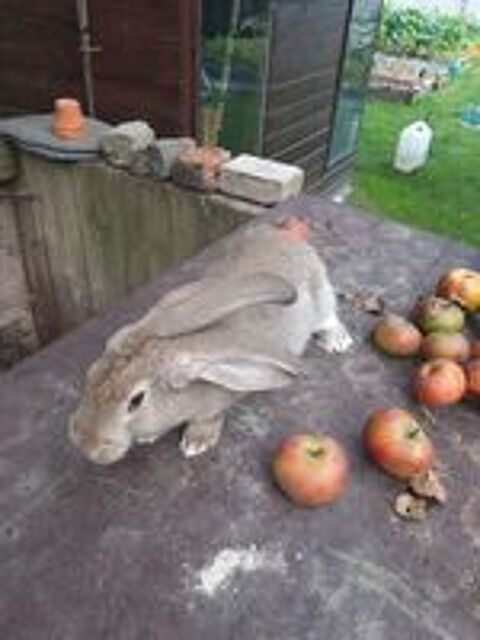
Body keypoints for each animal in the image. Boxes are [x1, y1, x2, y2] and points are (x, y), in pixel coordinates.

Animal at [68, 220, 352, 465]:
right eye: (90, 374)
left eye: (136, 401)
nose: (86, 445)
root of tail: (291, 240)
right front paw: (150, 436)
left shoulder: (218, 399)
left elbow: (210, 417)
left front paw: (197, 442)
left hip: (321, 297)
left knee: (329, 316)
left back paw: (338, 341)